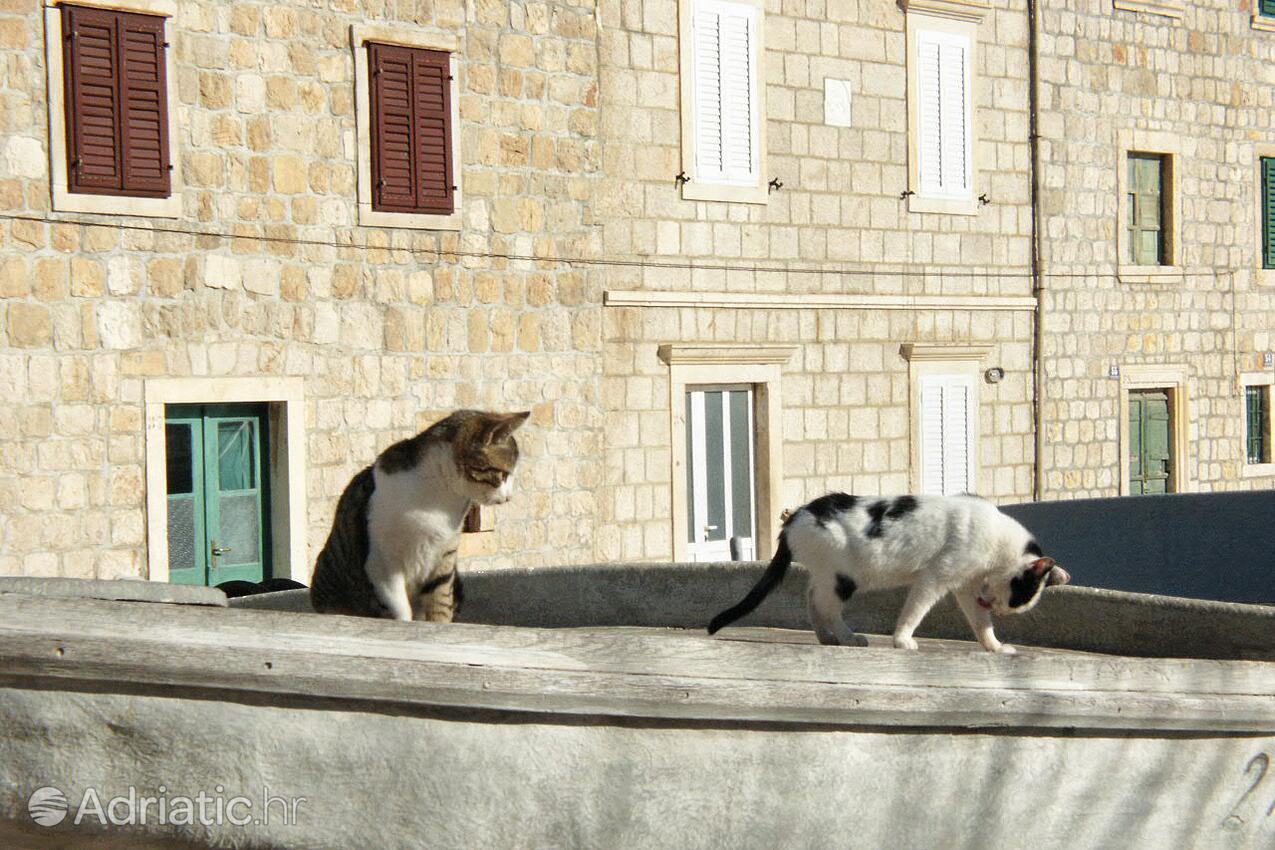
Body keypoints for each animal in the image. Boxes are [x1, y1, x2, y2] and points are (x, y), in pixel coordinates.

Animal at [308, 407, 527, 621]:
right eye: (504, 474)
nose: (509, 497)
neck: (440, 496)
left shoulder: (444, 556)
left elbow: (440, 607)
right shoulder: (383, 562)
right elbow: (401, 611)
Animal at [703, 494, 1071, 657]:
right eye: (1018, 597)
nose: (999, 608)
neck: (997, 542)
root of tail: (796, 516)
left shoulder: (965, 588)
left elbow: (981, 624)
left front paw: (994, 646)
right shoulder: (935, 578)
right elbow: (914, 612)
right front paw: (902, 641)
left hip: (828, 575)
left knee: (811, 600)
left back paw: (826, 637)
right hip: (843, 577)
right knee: (827, 606)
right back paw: (849, 638)